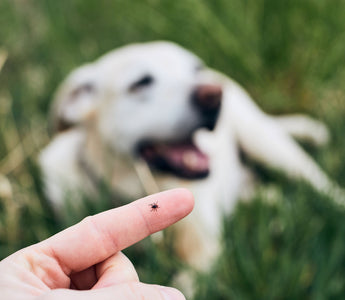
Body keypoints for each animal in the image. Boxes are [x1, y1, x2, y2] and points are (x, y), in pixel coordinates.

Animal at [39, 41, 342, 274]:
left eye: (195, 68)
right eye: (140, 83)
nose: (214, 94)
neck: (133, 187)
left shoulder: (203, 253)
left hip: (266, 143)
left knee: (319, 183)